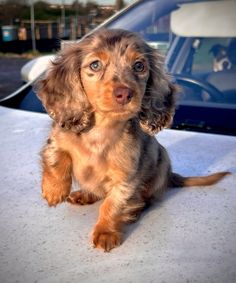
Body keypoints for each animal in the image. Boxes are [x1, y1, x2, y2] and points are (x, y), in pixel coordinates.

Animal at [36, 29, 229, 253]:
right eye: (95, 65)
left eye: (139, 66)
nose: (124, 93)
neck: (101, 130)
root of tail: (170, 176)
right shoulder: (57, 138)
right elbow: (56, 158)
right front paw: (54, 190)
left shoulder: (126, 177)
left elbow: (112, 204)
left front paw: (106, 232)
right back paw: (85, 194)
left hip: (161, 163)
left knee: (142, 200)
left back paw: (134, 211)